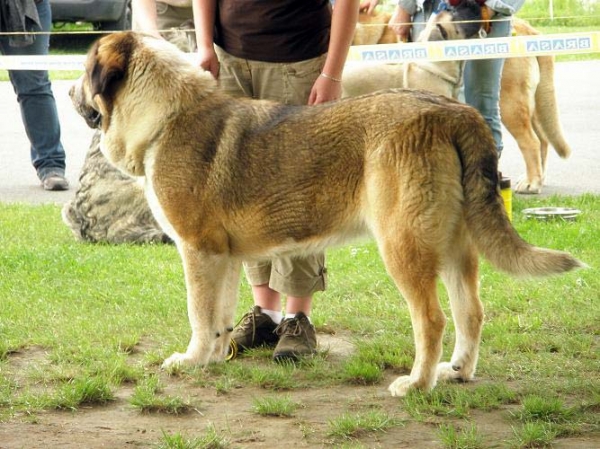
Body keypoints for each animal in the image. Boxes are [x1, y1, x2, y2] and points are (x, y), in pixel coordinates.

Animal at [69, 31, 580, 396]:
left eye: (86, 71)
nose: (72, 90)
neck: (165, 117)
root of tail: (454, 112)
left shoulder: (198, 252)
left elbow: (199, 313)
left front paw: (190, 361)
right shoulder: (223, 258)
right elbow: (219, 316)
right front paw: (213, 358)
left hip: (404, 247)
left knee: (432, 319)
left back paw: (417, 383)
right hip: (455, 247)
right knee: (470, 311)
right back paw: (457, 372)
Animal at [344, 10, 568, 194]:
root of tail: (529, 31)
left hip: (509, 103)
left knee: (531, 141)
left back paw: (531, 183)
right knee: (543, 139)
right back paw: (536, 179)